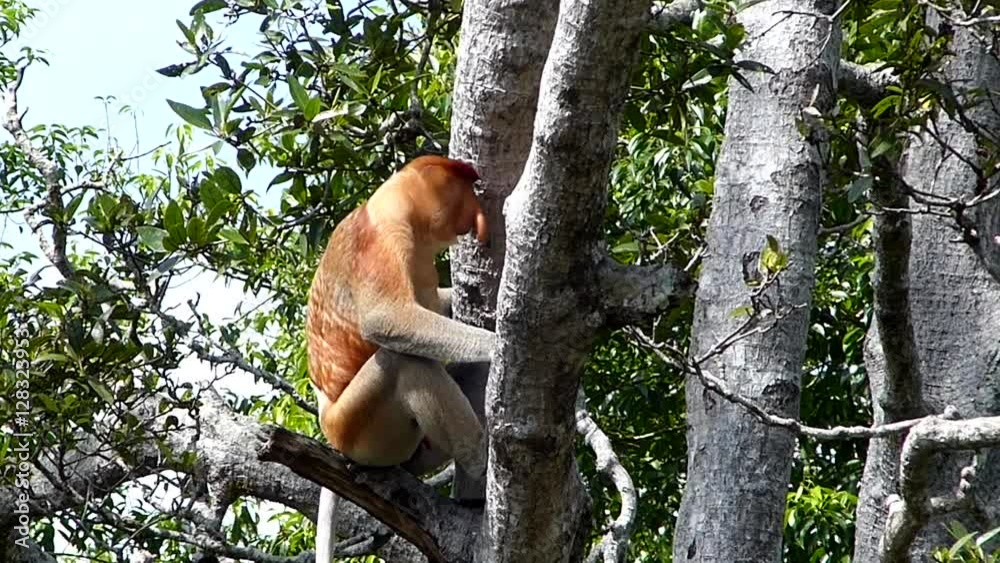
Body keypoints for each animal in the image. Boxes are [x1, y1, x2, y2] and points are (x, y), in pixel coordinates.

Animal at [306, 155, 495, 561]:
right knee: (404, 362)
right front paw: (500, 340)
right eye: (466, 188)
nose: (478, 217)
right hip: (359, 429)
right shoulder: (385, 236)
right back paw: (478, 456)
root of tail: (328, 426)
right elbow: (387, 318)